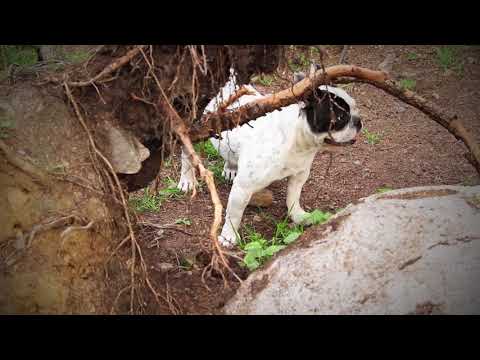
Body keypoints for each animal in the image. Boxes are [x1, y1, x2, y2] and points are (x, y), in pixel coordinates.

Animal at [178, 64, 362, 248]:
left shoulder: (299, 175)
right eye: (341, 117)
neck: (297, 141)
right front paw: (228, 236)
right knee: (186, 152)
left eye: (354, 107)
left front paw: (298, 215)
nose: (358, 121)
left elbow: (293, 197)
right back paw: (187, 180)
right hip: (193, 124)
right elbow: (234, 214)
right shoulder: (243, 188)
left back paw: (231, 167)